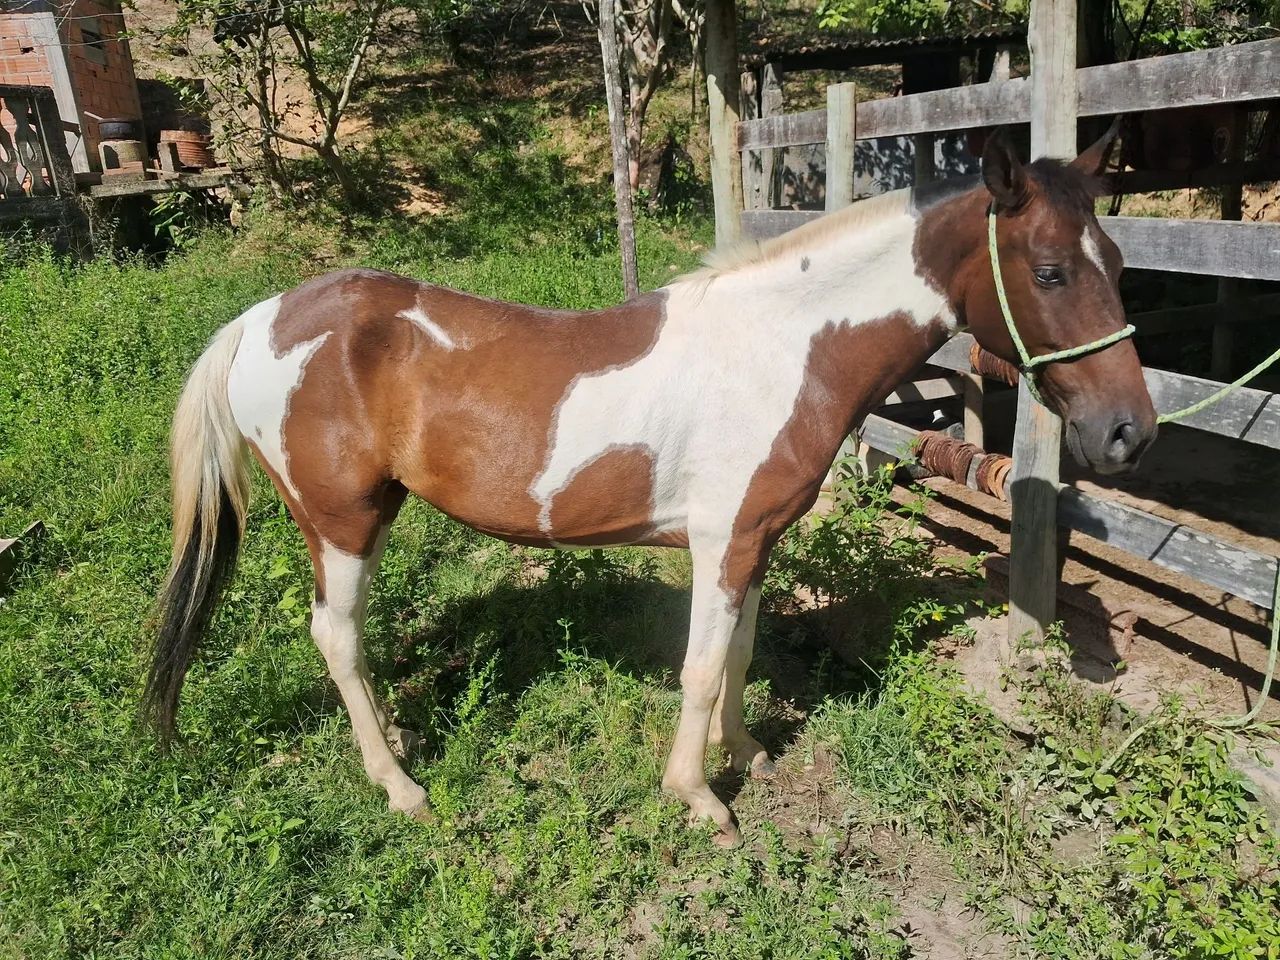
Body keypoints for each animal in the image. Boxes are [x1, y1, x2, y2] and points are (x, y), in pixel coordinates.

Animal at [145, 130, 1156, 846]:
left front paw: (746, 752)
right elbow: (701, 668)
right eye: (1050, 271)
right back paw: (399, 785)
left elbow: (739, 655)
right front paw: (699, 796)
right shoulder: (722, 542)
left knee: (346, 641)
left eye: (1117, 266)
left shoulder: (755, 541)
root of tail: (261, 318)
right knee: (336, 635)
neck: (781, 348)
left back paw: (391, 739)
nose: (1130, 433)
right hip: (341, 520)